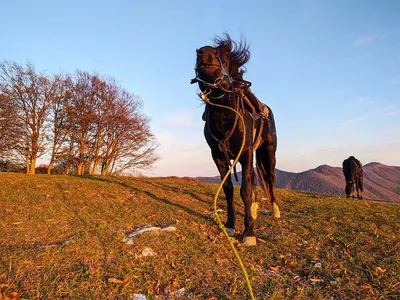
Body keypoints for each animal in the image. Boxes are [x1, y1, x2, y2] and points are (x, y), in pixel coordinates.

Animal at [191, 34, 280, 246]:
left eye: (222, 55)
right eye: (199, 53)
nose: (205, 52)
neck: (224, 116)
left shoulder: (245, 153)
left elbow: (245, 190)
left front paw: (249, 232)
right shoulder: (218, 157)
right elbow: (229, 189)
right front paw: (230, 225)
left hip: (269, 152)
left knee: (270, 178)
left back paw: (274, 210)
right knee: (256, 179)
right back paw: (254, 210)